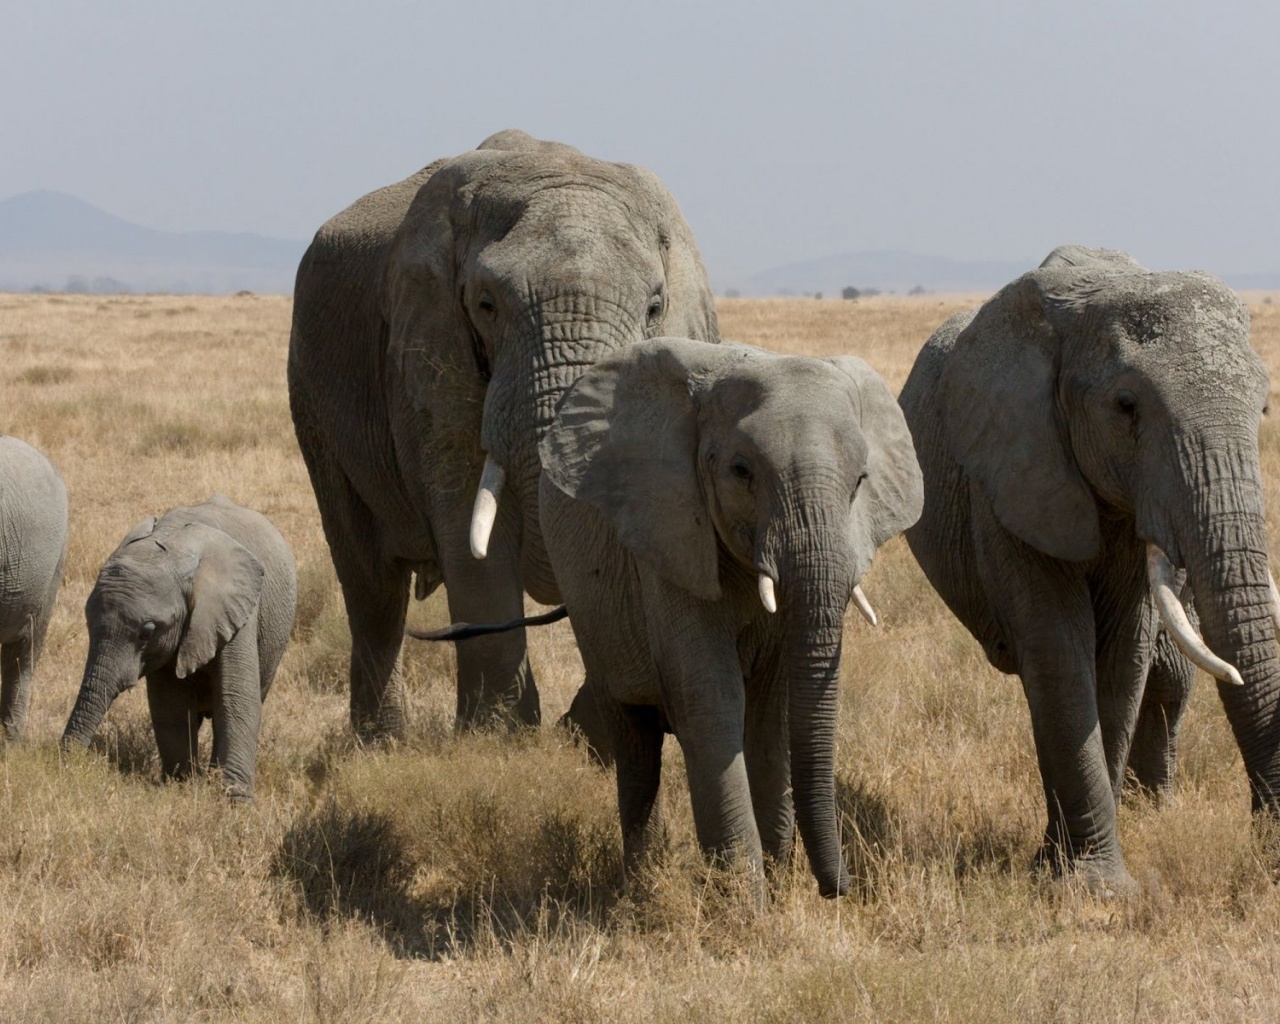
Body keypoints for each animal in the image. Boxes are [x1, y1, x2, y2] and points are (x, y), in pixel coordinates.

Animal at [64, 491, 296, 793]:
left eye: (147, 632)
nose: (66, 763)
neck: (172, 542)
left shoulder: (237, 610)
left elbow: (237, 698)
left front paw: (233, 800)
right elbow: (170, 704)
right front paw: (181, 787)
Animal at [289, 129, 721, 737]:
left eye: (655, 306)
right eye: (486, 305)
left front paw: (586, 731)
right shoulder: (429, 351)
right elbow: (467, 526)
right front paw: (499, 737)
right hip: (312, 392)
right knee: (371, 583)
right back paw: (381, 742)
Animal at [537, 337, 921, 896]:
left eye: (860, 482)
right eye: (742, 472)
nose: (845, 887)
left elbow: (769, 710)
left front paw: (776, 885)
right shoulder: (671, 534)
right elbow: (713, 697)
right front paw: (744, 898)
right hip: (590, 606)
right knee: (635, 744)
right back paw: (642, 882)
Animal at [901, 244, 1280, 890]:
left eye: (1263, 407)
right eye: (1125, 407)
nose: (1265, 843)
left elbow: (1123, 652)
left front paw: (1072, 872)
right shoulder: (1010, 472)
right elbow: (1058, 645)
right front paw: (1088, 885)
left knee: (1169, 671)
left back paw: (1147, 806)